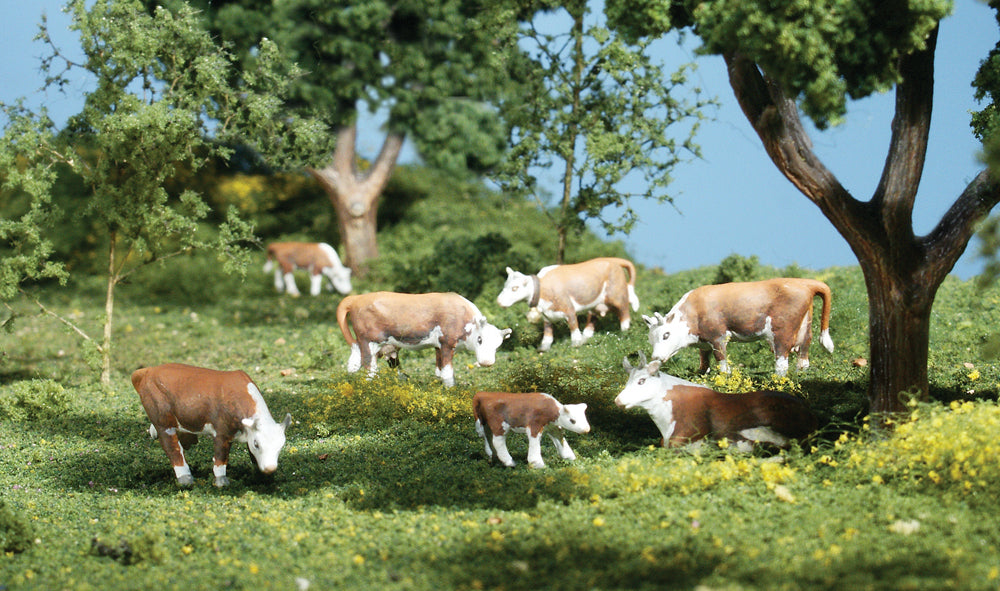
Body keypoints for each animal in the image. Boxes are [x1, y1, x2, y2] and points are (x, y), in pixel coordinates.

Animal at [131, 363, 292, 487]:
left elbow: (252, 456)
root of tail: (148, 371)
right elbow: (221, 457)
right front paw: (221, 482)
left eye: (281, 445)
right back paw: (185, 478)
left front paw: (263, 478)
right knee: (172, 447)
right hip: (162, 419)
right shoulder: (222, 432)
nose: (270, 468)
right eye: (257, 444)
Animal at [336, 291, 512, 387]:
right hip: (368, 342)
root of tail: (357, 298)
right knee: (369, 368)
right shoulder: (447, 343)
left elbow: (439, 370)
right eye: (480, 339)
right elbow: (448, 372)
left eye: (498, 346)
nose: (487, 362)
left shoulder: (438, 346)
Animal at [497, 257, 640, 351]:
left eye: (515, 288)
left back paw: (624, 332)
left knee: (625, 313)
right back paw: (586, 336)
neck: (543, 289)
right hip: (595, 304)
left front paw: (576, 343)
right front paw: (543, 348)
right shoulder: (547, 316)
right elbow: (548, 334)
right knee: (592, 317)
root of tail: (614, 261)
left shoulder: (569, 309)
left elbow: (573, 327)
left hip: (618, 297)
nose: (499, 301)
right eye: (505, 285)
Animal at [644, 277, 834, 376]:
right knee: (805, 346)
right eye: (650, 339)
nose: (655, 357)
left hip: (782, 331)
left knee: (782, 357)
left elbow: (721, 359)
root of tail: (804, 283)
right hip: (805, 325)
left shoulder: (718, 336)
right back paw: (801, 370)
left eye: (666, 335)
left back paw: (777, 377)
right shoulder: (704, 341)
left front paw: (724, 376)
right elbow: (704, 359)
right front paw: (701, 374)